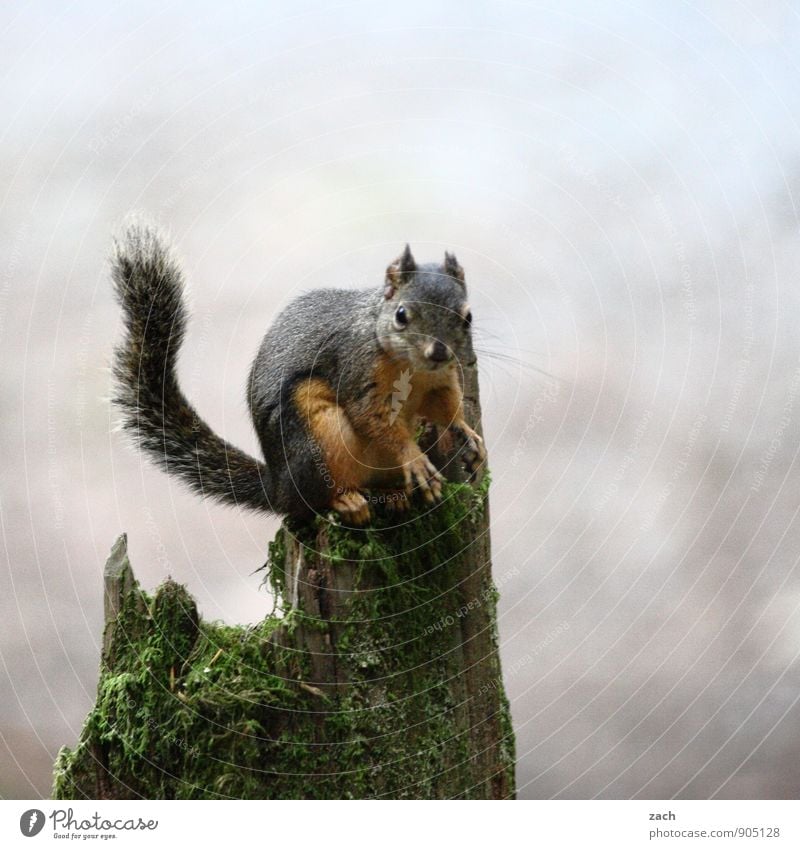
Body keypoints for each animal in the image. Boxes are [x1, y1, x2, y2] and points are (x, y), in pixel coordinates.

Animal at [111, 220, 488, 524]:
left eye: (468, 316)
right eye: (401, 315)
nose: (439, 352)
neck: (412, 367)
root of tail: (277, 488)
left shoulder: (441, 381)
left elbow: (446, 408)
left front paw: (468, 435)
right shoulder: (356, 368)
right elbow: (372, 416)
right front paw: (415, 458)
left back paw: (394, 494)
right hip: (316, 433)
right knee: (312, 502)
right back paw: (346, 500)